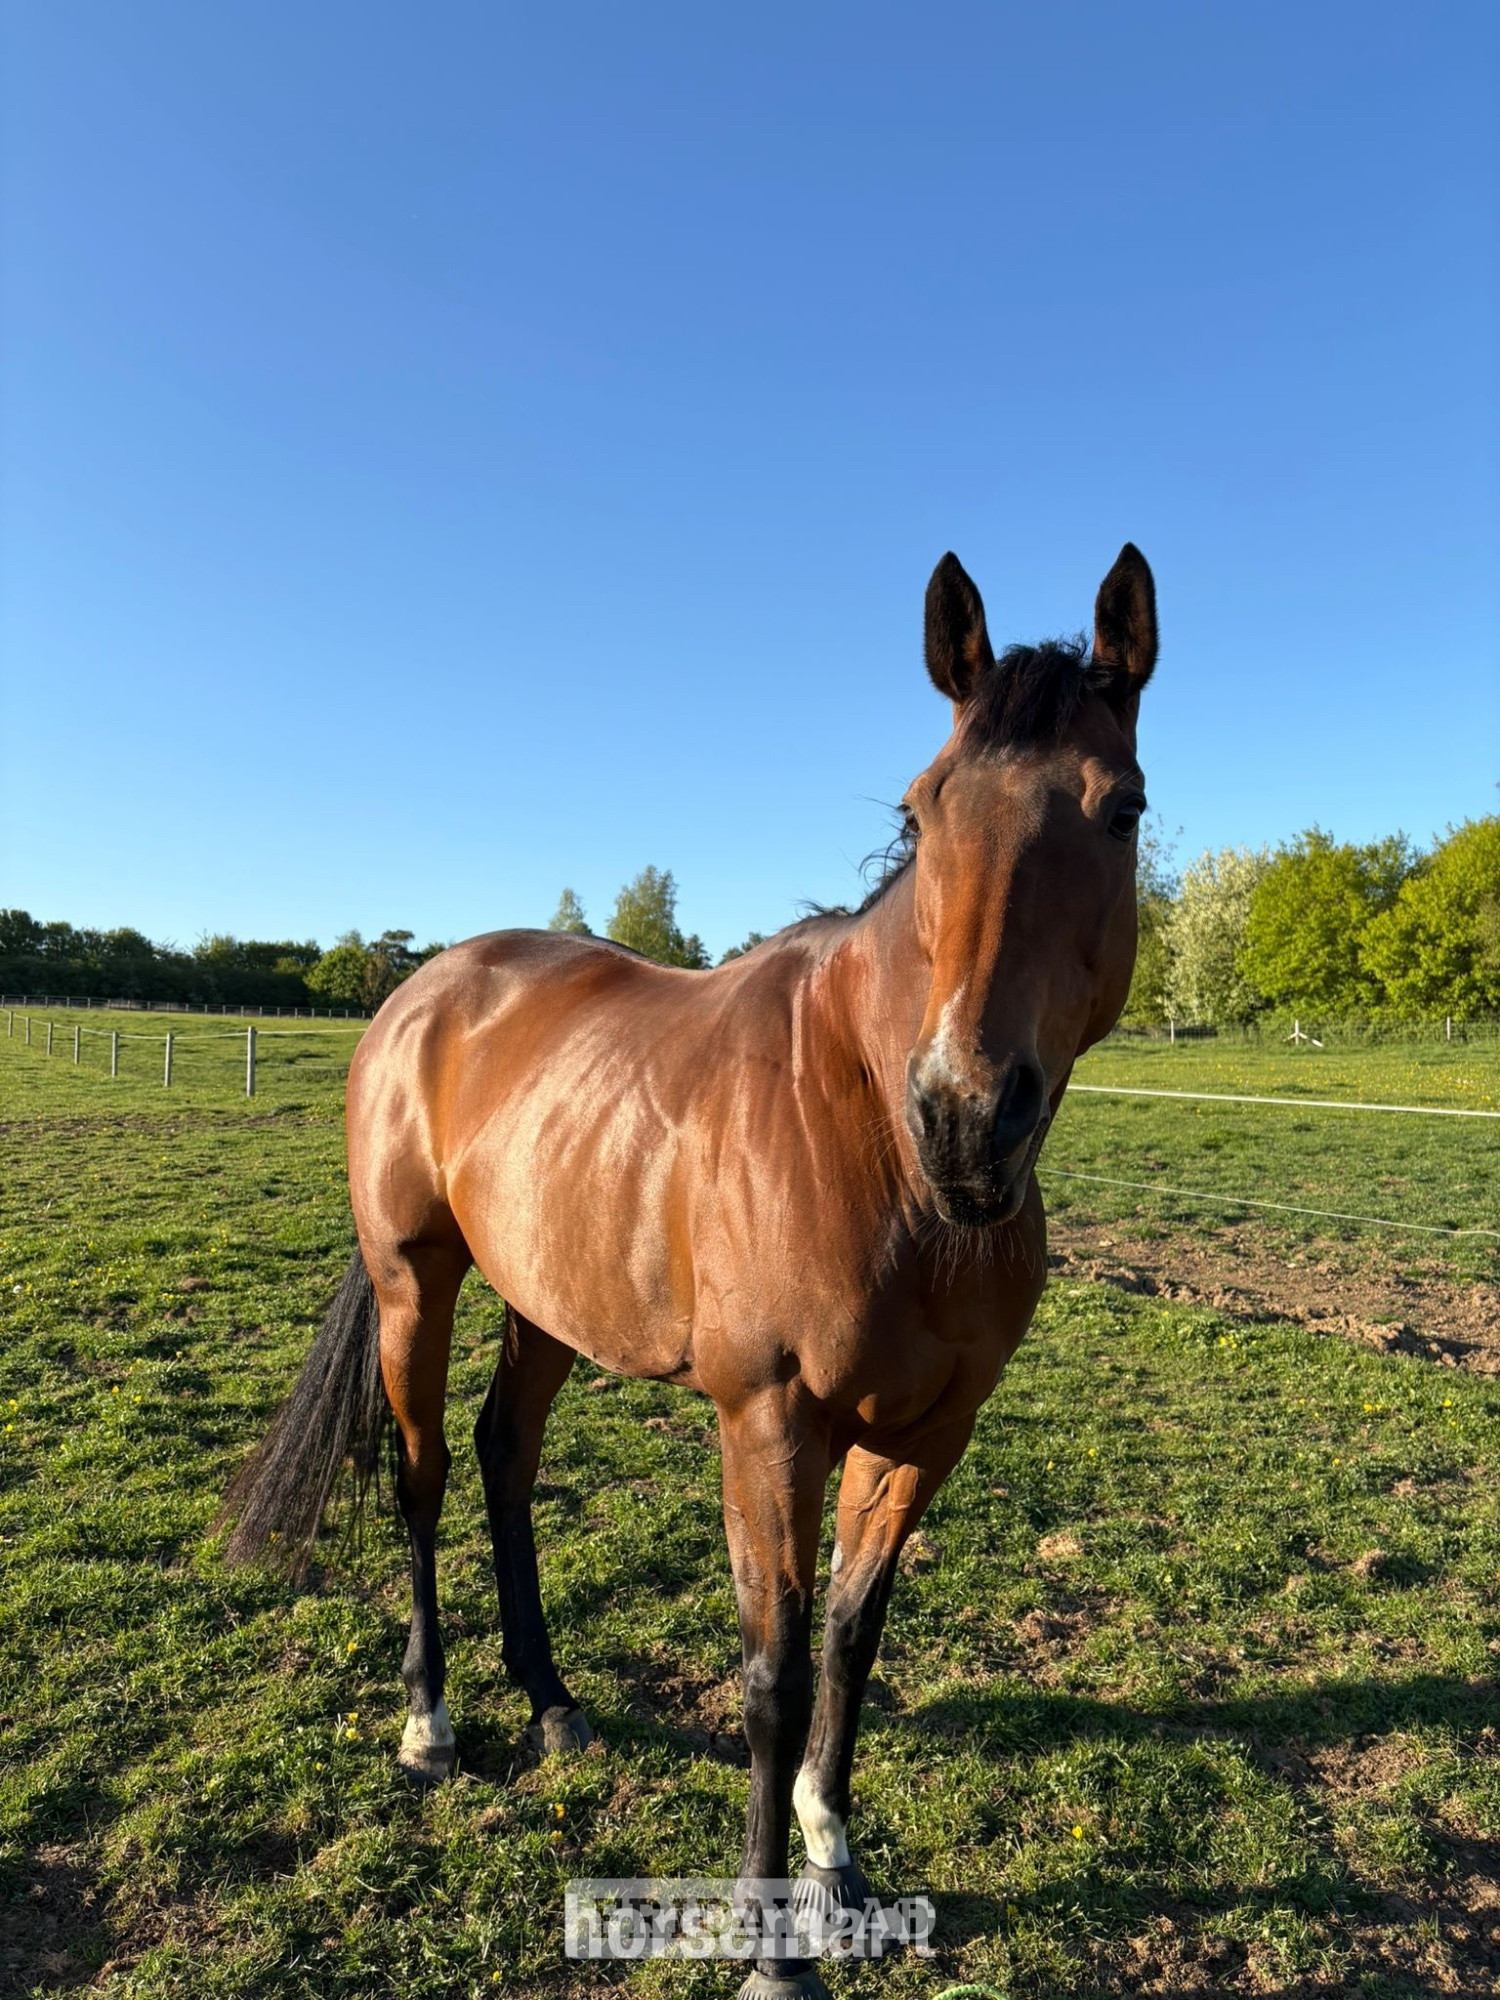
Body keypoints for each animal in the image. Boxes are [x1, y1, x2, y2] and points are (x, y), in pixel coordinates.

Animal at [223, 542, 1157, 1999]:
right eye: (924, 805)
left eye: (1123, 809)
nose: (965, 1114)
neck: (873, 1139)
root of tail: (423, 991)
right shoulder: (767, 1423)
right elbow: (773, 1674)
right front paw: (776, 1950)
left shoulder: (928, 1432)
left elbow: (851, 1640)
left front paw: (836, 1862)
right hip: (414, 1279)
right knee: (425, 1477)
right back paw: (432, 1723)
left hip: (545, 1300)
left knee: (503, 1458)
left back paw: (554, 1705)